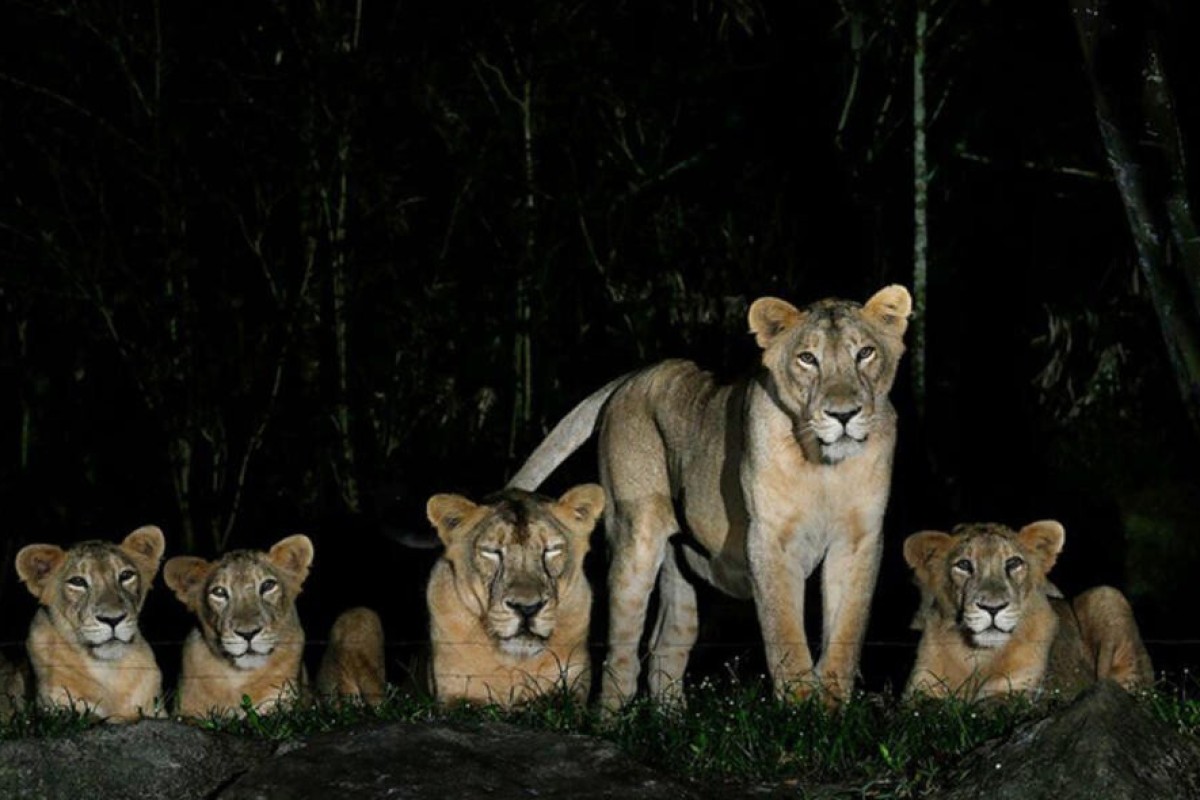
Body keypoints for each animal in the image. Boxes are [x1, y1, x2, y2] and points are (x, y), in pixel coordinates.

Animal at [15, 525, 167, 722]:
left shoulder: (156, 709)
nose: (113, 619)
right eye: (77, 581)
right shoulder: (53, 711)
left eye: (126, 575)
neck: (108, 669)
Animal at [164, 534, 386, 716]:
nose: (248, 633)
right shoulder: (186, 712)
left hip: (359, 614)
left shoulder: (283, 709)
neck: (238, 678)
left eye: (268, 586)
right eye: (219, 592)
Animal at [425, 484, 604, 707]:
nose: (527, 608)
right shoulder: (453, 694)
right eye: (491, 551)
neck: (514, 664)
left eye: (551, 549)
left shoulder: (571, 688)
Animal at [507, 286, 911, 709]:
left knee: (665, 647)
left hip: (681, 567)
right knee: (622, 656)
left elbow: (846, 632)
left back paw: (671, 720)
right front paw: (800, 709)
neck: (825, 469)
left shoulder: (859, 539)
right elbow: (785, 631)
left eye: (864, 353)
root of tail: (634, 375)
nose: (843, 414)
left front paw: (832, 709)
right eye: (807, 358)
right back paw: (610, 717)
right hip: (635, 540)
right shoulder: (769, 539)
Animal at [903, 521, 1154, 699]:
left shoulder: (1019, 693)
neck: (978, 656)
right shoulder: (919, 691)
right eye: (964, 565)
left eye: (1013, 563)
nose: (992, 608)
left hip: (1105, 594)